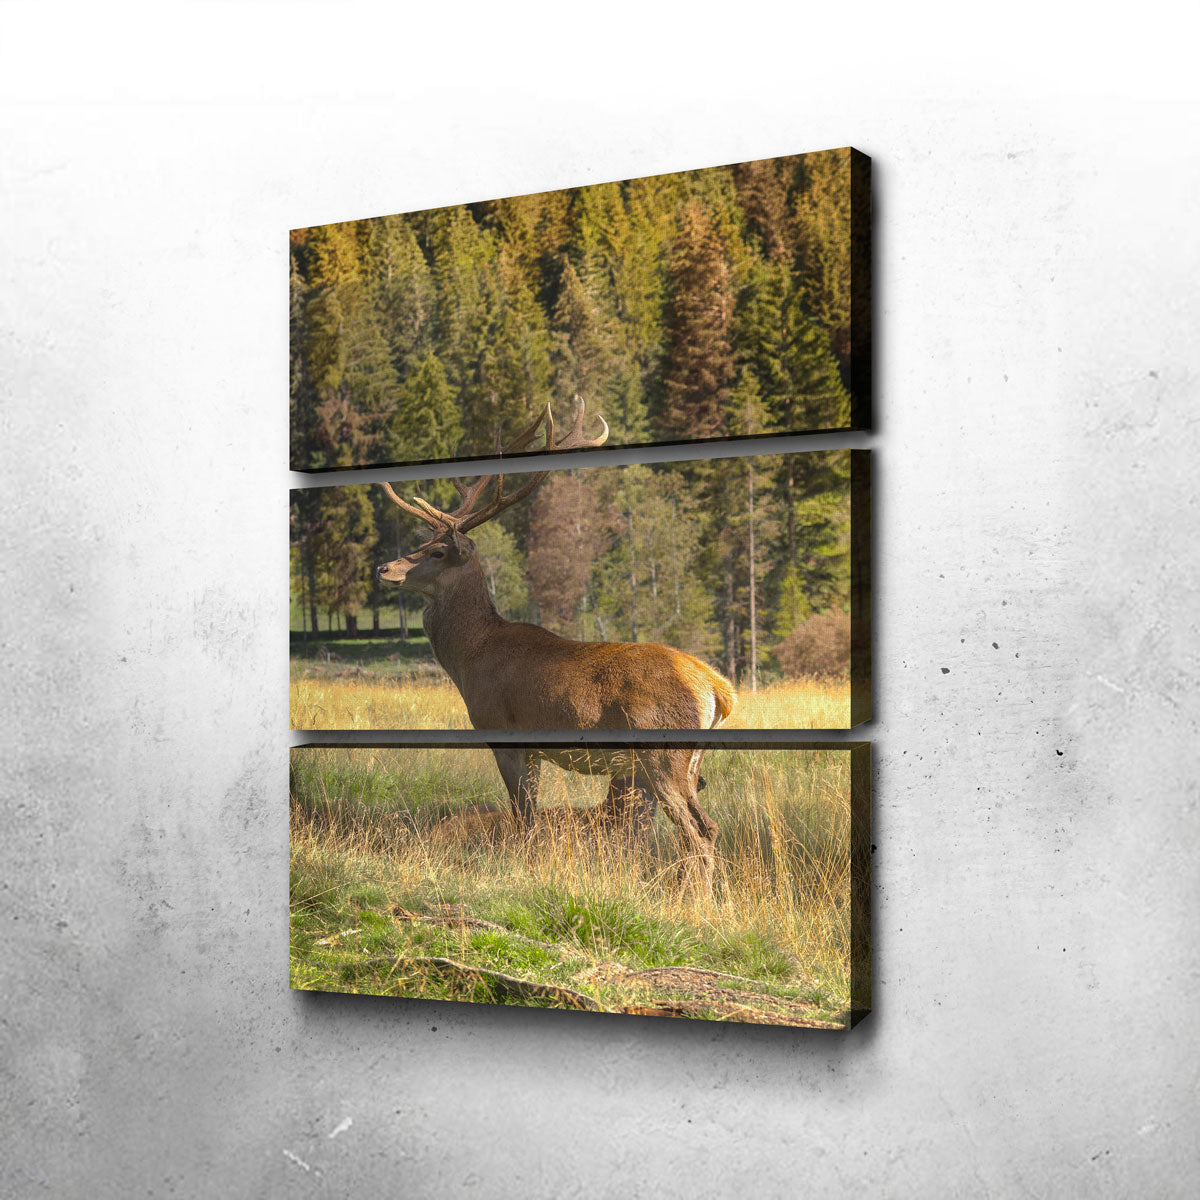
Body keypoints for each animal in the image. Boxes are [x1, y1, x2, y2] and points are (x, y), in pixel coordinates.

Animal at [375, 399, 735, 892]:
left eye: (436, 552)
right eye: (422, 541)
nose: (384, 567)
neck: (469, 658)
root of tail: (716, 689)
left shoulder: (502, 730)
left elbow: (524, 817)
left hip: (661, 752)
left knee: (697, 831)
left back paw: (697, 901)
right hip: (689, 761)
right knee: (708, 827)